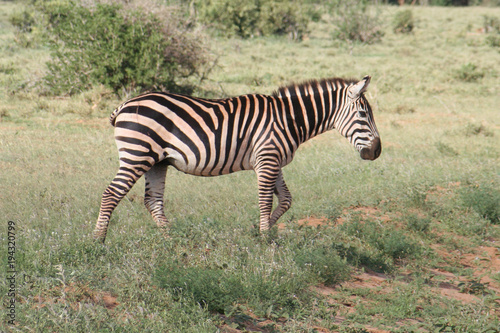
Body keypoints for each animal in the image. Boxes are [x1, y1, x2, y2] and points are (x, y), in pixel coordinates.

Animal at [94, 75, 380, 241]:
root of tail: (126, 104)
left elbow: (286, 200)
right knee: (111, 193)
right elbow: (265, 200)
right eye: (364, 115)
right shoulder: (267, 158)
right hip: (137, 154)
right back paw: (99, 240)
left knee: (152, 200)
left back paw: (171, 238)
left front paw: (263, 231)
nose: (377, 151)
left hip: (157, 161)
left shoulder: (273, 160)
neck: (289, 119)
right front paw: (265, 239)